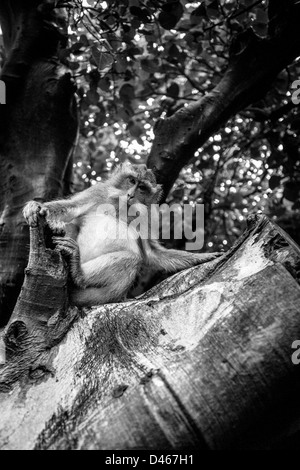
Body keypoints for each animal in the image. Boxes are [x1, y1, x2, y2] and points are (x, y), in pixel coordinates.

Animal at [23, 162, 220, 308]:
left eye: (142, 188)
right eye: (131, 180)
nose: (131, 195)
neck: (121, 207)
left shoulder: (149, 215)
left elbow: (151, 252)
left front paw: (203, 256)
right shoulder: (99, 190)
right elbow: (70, 207)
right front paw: (35, 207)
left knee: (131, 260)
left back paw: (79, 273)